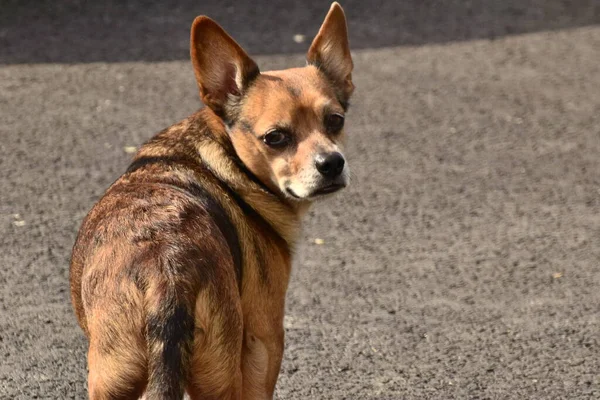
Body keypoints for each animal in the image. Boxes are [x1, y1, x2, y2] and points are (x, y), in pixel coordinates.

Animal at [71, 2, 354, 396]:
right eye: (275, 137)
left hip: (114, 377)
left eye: (335, 120)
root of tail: (166, 276)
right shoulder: (265, 339)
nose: (332, 163)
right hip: (223, 372)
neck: (222, 156)